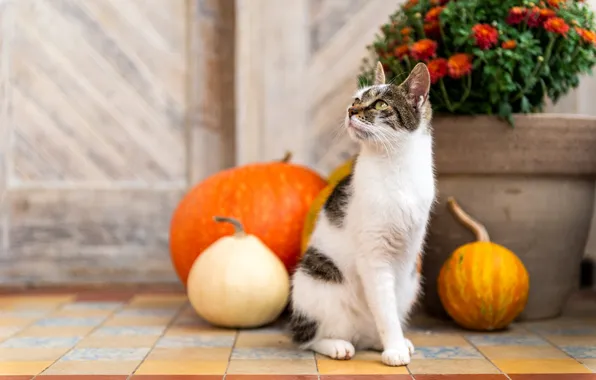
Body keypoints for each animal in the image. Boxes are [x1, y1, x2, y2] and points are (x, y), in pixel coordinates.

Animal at [286, 60, 436, 366]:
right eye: (356, 100)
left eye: (380, 104)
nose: (350, 110)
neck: (395, 167)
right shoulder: (373, 255)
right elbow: (385, 308)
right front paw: (394, 348)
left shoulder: (406, 256)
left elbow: (391, 306)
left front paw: (395, 342)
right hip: (317, 281)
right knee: (309, 338)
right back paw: (337, 346)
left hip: (413, 282)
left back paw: (379, 341)